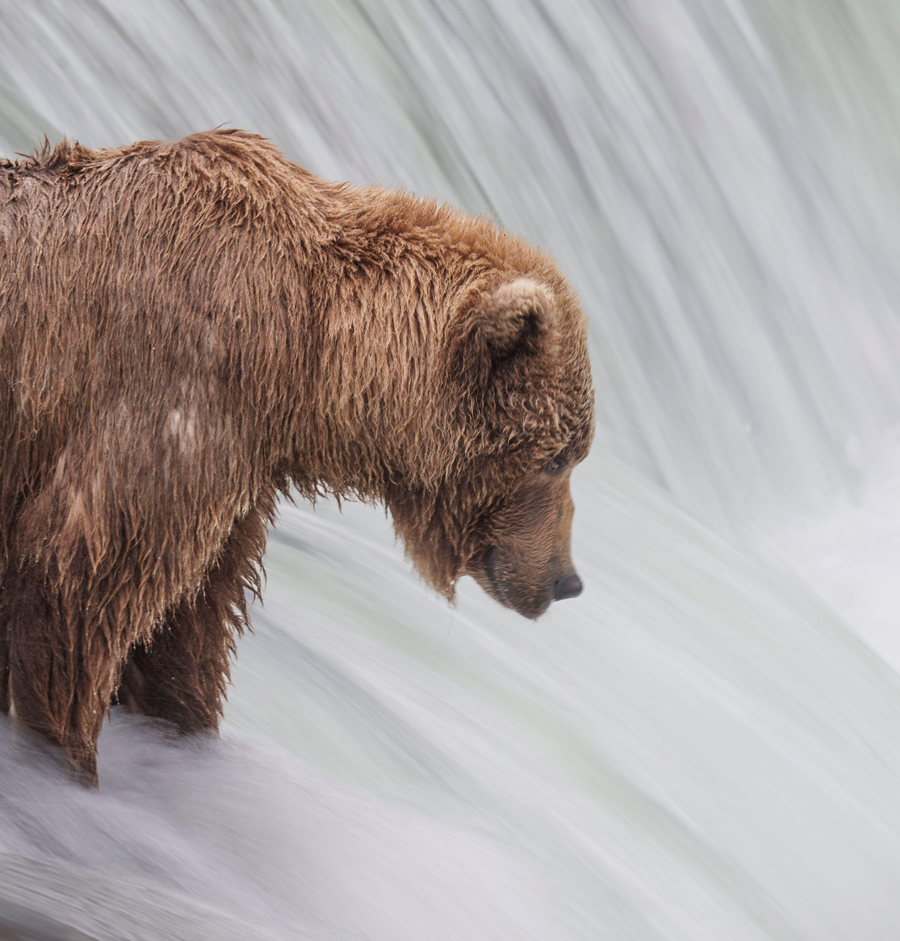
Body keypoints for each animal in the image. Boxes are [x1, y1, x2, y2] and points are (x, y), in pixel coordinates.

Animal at [0, 129, 594, 784]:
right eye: (557, 459)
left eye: (574, 454)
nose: (567, 580)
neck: (307, 358)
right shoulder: (177, 388)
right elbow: (72, 582)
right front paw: (70, 766)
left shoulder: (240, 468)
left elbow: (186, 631)